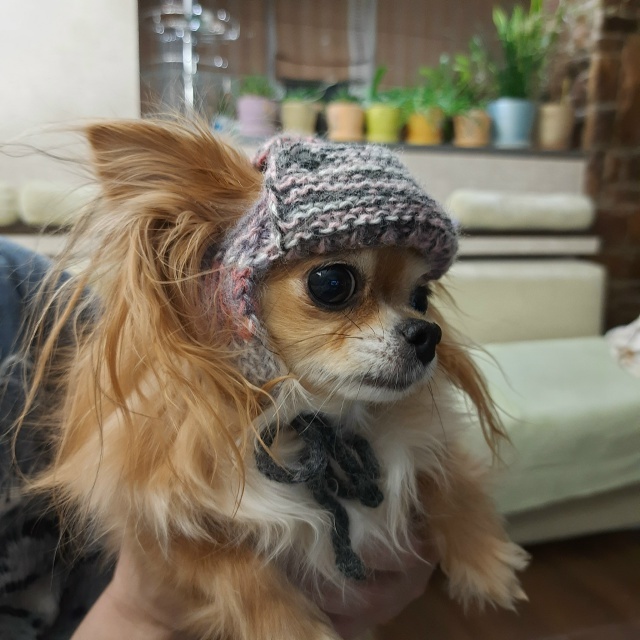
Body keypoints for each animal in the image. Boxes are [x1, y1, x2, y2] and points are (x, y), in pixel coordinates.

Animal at [20, 120, 528, 639]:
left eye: (421, 298)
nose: (428, 334)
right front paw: (291, 626)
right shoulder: (152, 530)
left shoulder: (422, 447)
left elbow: (451, 477)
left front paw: (484, 559)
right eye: (332, 283)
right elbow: (226, 563)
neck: (306, 423)